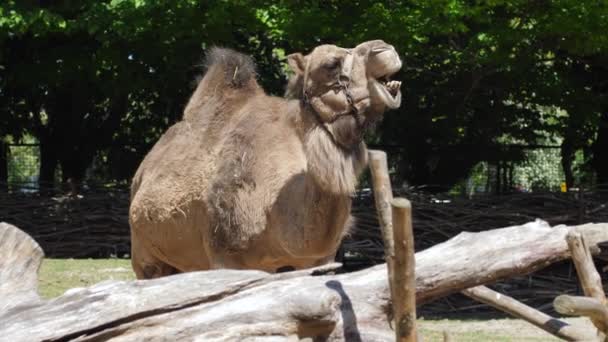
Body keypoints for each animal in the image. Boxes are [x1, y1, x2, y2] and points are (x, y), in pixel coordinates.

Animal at [129, 40, 404, 280]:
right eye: (331, 64)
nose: (384, 48)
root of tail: (140, 173)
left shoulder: (320, 259)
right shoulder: (224, 256)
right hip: (144, 256)